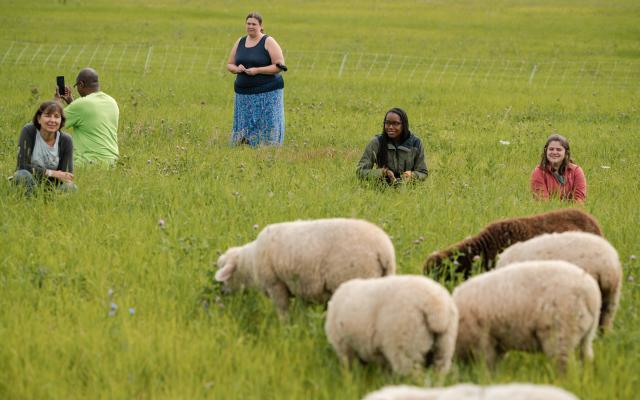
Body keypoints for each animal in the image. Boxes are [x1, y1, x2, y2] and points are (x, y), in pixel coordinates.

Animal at [215, 219, 396, 316]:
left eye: (226, 276)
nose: (222, 293)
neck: (250, 264)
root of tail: (384, 251)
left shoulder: (276, 285)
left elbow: (283, 312)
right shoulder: (303, 287)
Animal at [324, 276, 460, 376]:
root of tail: (436, 307)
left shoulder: (345, 346)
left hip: (405, 345)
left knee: (412, 374)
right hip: (444, 345)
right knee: (440, 369)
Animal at [452, 260, 596, 370]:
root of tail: (590, 294)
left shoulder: (483, 342)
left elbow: (486, 368)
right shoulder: (496, 344)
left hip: (561, 333)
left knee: (567, 368)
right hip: (586, 335)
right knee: (587, 359)